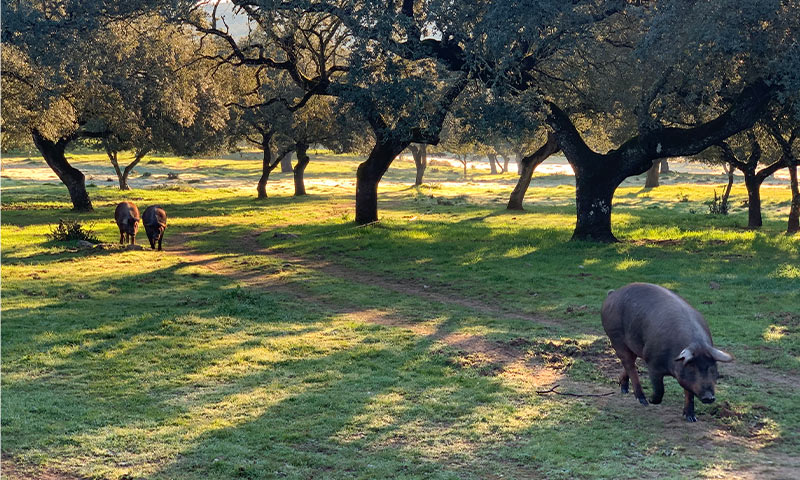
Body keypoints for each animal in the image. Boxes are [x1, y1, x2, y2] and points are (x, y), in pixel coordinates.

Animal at [600, 284, 732, 422]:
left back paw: (624, 390)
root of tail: (612, 294)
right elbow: (659, 388)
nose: (709, 397)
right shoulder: (652, 363)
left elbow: (689, 393)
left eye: (712, 368)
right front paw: (651, 400)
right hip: (616, 337)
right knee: (629, 364)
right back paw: (642, 400)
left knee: (630, 363)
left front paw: (691, 418)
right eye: (692, 369)